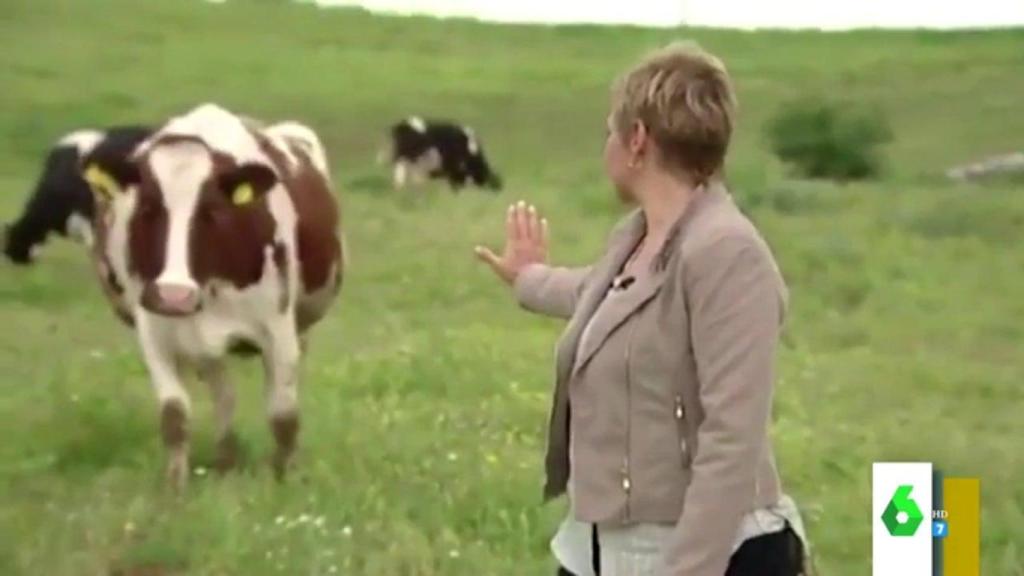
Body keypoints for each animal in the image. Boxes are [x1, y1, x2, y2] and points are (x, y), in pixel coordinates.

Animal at [80, 104, 344, 487]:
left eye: (213, 211)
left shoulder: (278, 330)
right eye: (147, 209)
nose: (174, 295)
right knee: (224, 396)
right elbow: (174, 415)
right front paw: (175, 486)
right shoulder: (154, 332)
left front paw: (285, 478)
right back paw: (225, 460)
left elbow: (283, 414)